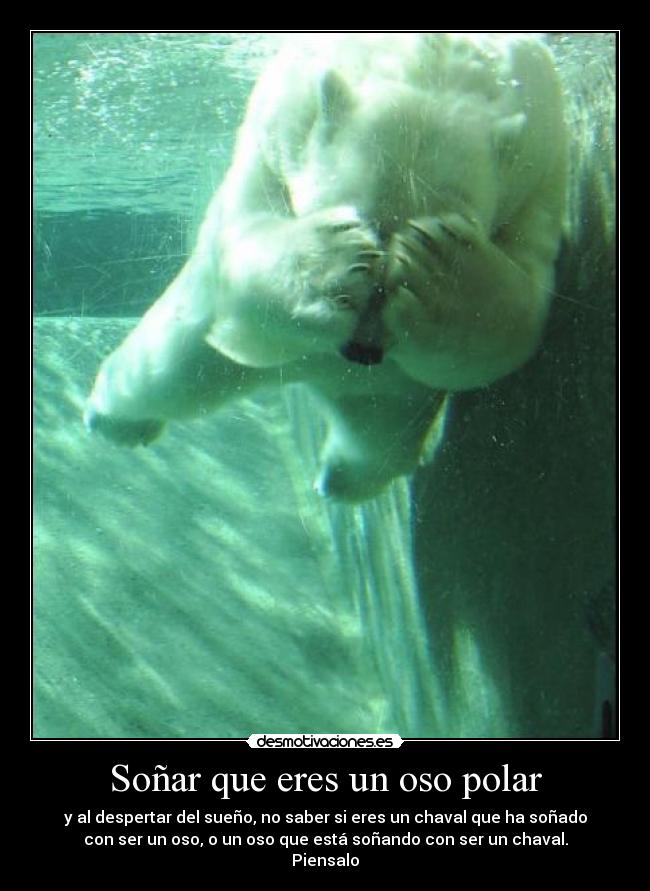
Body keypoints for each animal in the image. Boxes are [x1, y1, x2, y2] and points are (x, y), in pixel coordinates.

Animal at [84, 33, 567, 503]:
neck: (432, 62)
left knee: (378, 439)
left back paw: (341, 478)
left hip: (390, 395)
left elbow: (514, 321)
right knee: (162, 375)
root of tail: (312, 378)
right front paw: (335, 256)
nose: (363, 351)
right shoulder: (277, 126)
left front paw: (437, 270)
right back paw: (113, 420)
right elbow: (243, 237)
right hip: (204, 346)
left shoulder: (540, 168)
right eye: (366, 222)